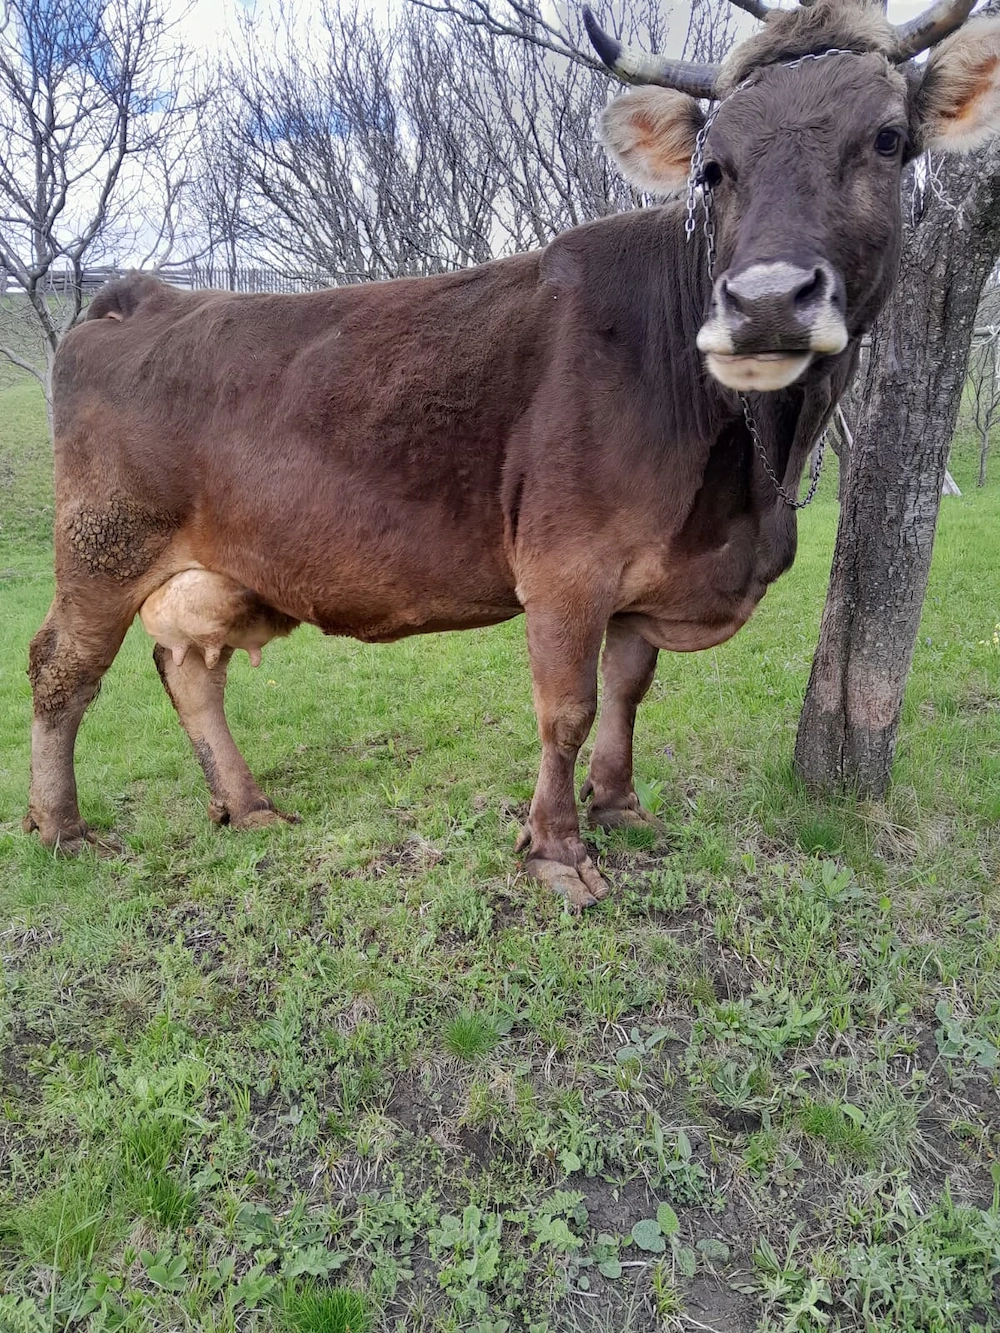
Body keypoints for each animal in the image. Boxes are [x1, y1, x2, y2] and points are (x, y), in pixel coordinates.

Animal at [23, 0, 1000, 907]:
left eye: (888, 140)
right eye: (713, 167)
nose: (765, 301)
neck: (745, 480)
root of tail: (147, 295)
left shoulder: (647, 573)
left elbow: (627, 688)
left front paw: (620, 807)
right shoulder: (567, 564)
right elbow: (565, 709)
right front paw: (559, 849)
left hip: (212, 572)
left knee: (189, 670)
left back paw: (247, 804)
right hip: (103, 547)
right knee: (60, 670)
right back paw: (62, 828)